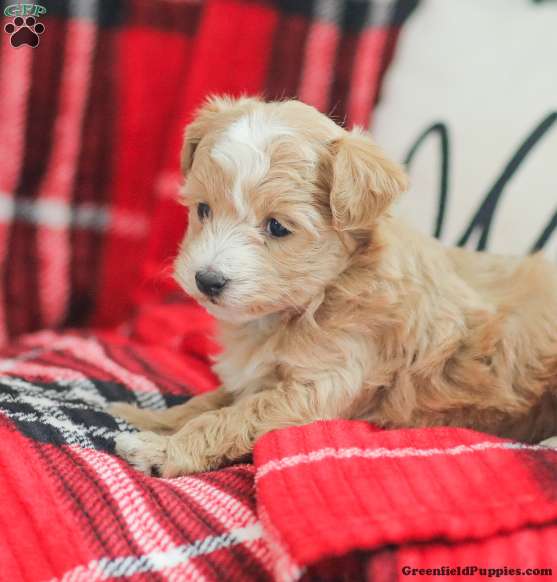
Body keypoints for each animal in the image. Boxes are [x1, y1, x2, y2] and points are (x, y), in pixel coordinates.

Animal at [111, 96, 557, 477]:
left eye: (277, 227)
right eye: (203, 209)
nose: (206, 280)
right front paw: (148, 418)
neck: (320, 295)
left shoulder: (321, 384)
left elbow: (233, 416)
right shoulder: (260, 379)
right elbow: (207, 401)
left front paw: (163, 450)